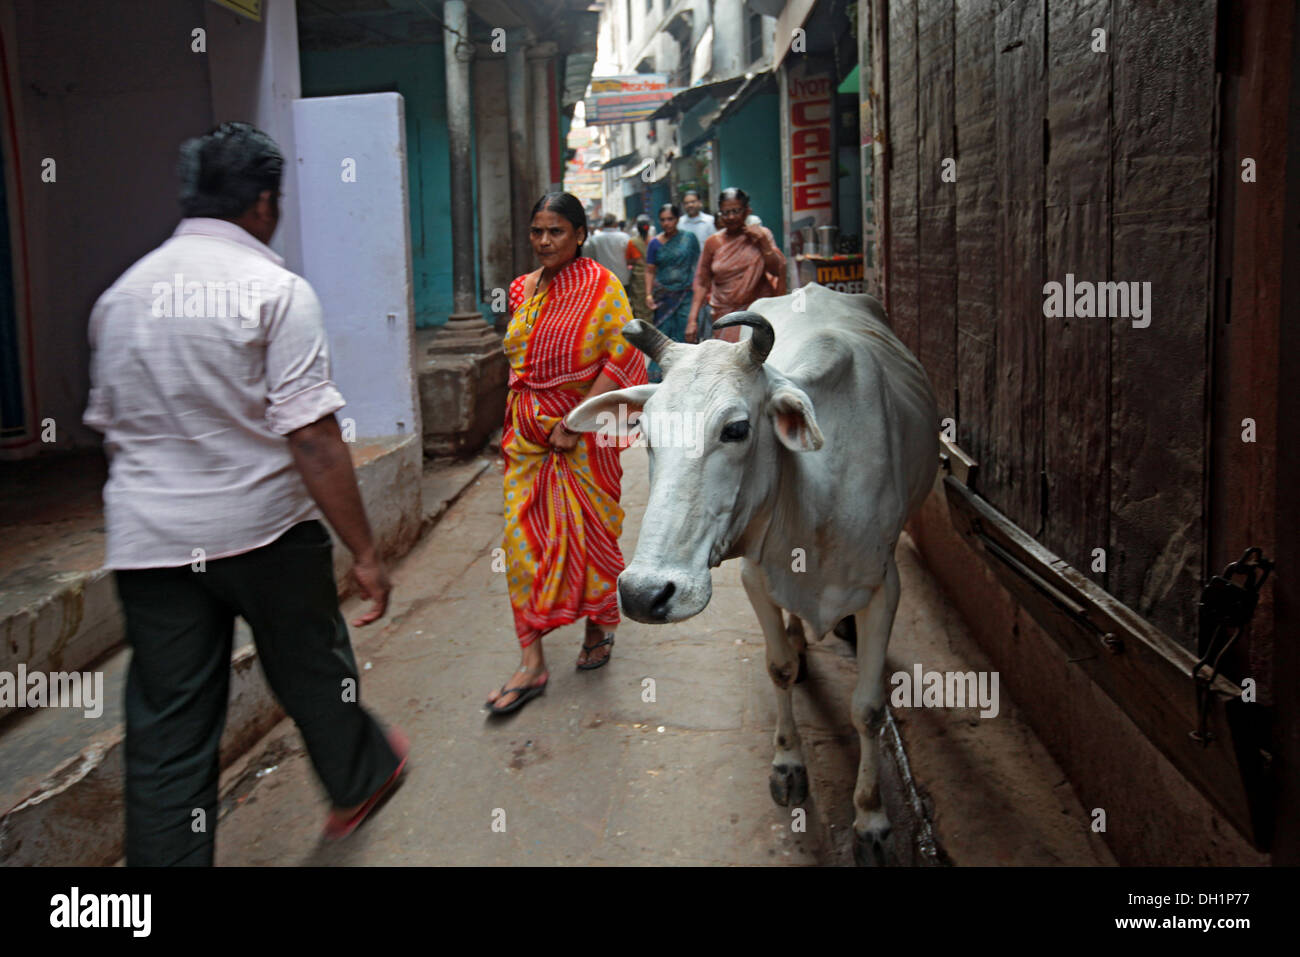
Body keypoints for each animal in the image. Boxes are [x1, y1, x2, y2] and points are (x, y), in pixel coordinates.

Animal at [569, 286, 935, 868]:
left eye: (737, 429)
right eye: (645, 431)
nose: (645, 593)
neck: (814, 500)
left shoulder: (885, 589)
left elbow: (869, 709)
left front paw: (872, 820)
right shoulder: (756, 578)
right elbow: (779, 669)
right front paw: (788, 763)